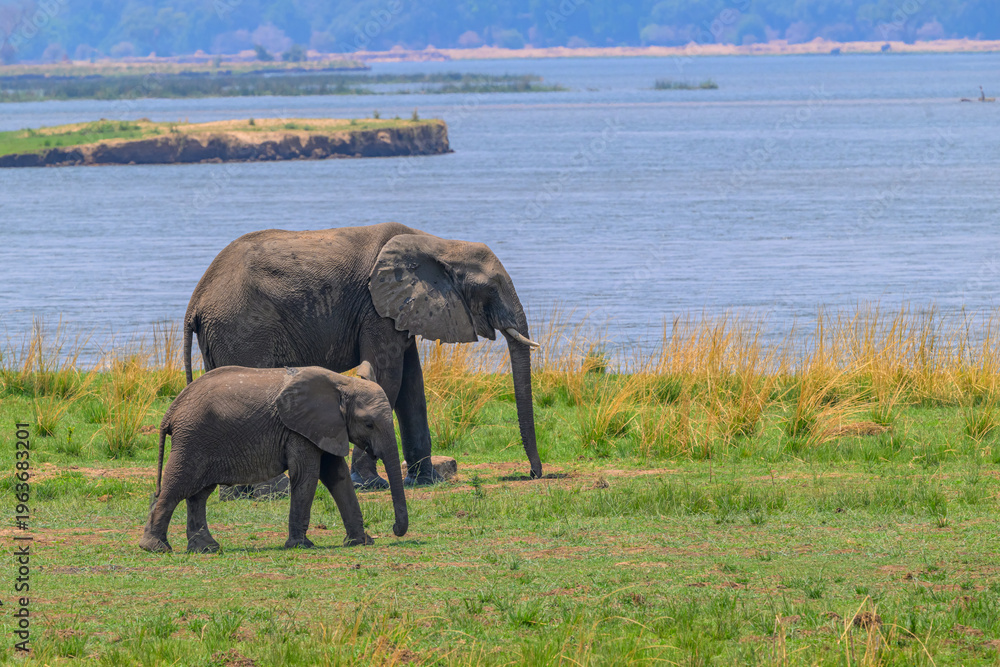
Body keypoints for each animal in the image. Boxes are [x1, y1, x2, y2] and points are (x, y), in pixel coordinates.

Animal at [139, 362, 408, 553]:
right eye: (369, 424)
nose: (395, 530)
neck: (343, 383)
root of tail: (171, 412)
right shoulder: (299, 430)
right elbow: (307, 476)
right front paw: (301, 545)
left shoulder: (326, 427)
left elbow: (337, 477)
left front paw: (361, 542)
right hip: (192, 440)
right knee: (177, 487)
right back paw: (155, 548)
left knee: (199, 495)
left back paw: (207, 548)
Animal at [182, 222, 542, 489]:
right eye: (491, 288)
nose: (534, 474)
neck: (437, 243)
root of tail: (196, 301)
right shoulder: (375, 308)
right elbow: (389, 378)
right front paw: (370, 484)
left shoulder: (401, 309)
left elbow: (411, 385)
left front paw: (426, 481)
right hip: (242, 328)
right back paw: (271, 491)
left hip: (222, 334)